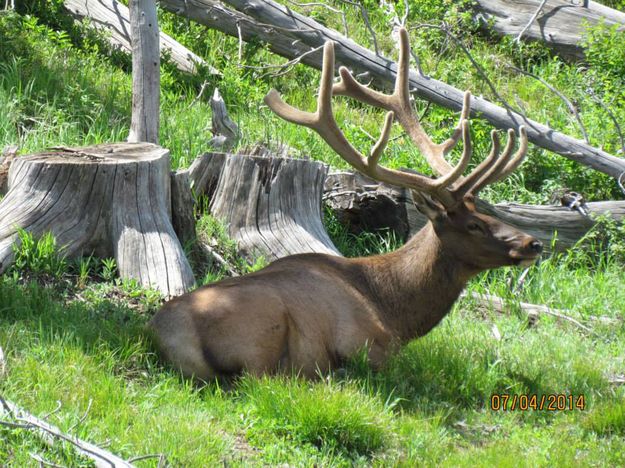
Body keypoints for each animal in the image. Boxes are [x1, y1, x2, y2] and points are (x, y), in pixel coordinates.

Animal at [151, 28, 540, 380]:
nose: (533, 243)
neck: (395, 310)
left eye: (485, 213)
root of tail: (160, 336)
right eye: (473, 225)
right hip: (263, 333)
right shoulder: (367, 344)